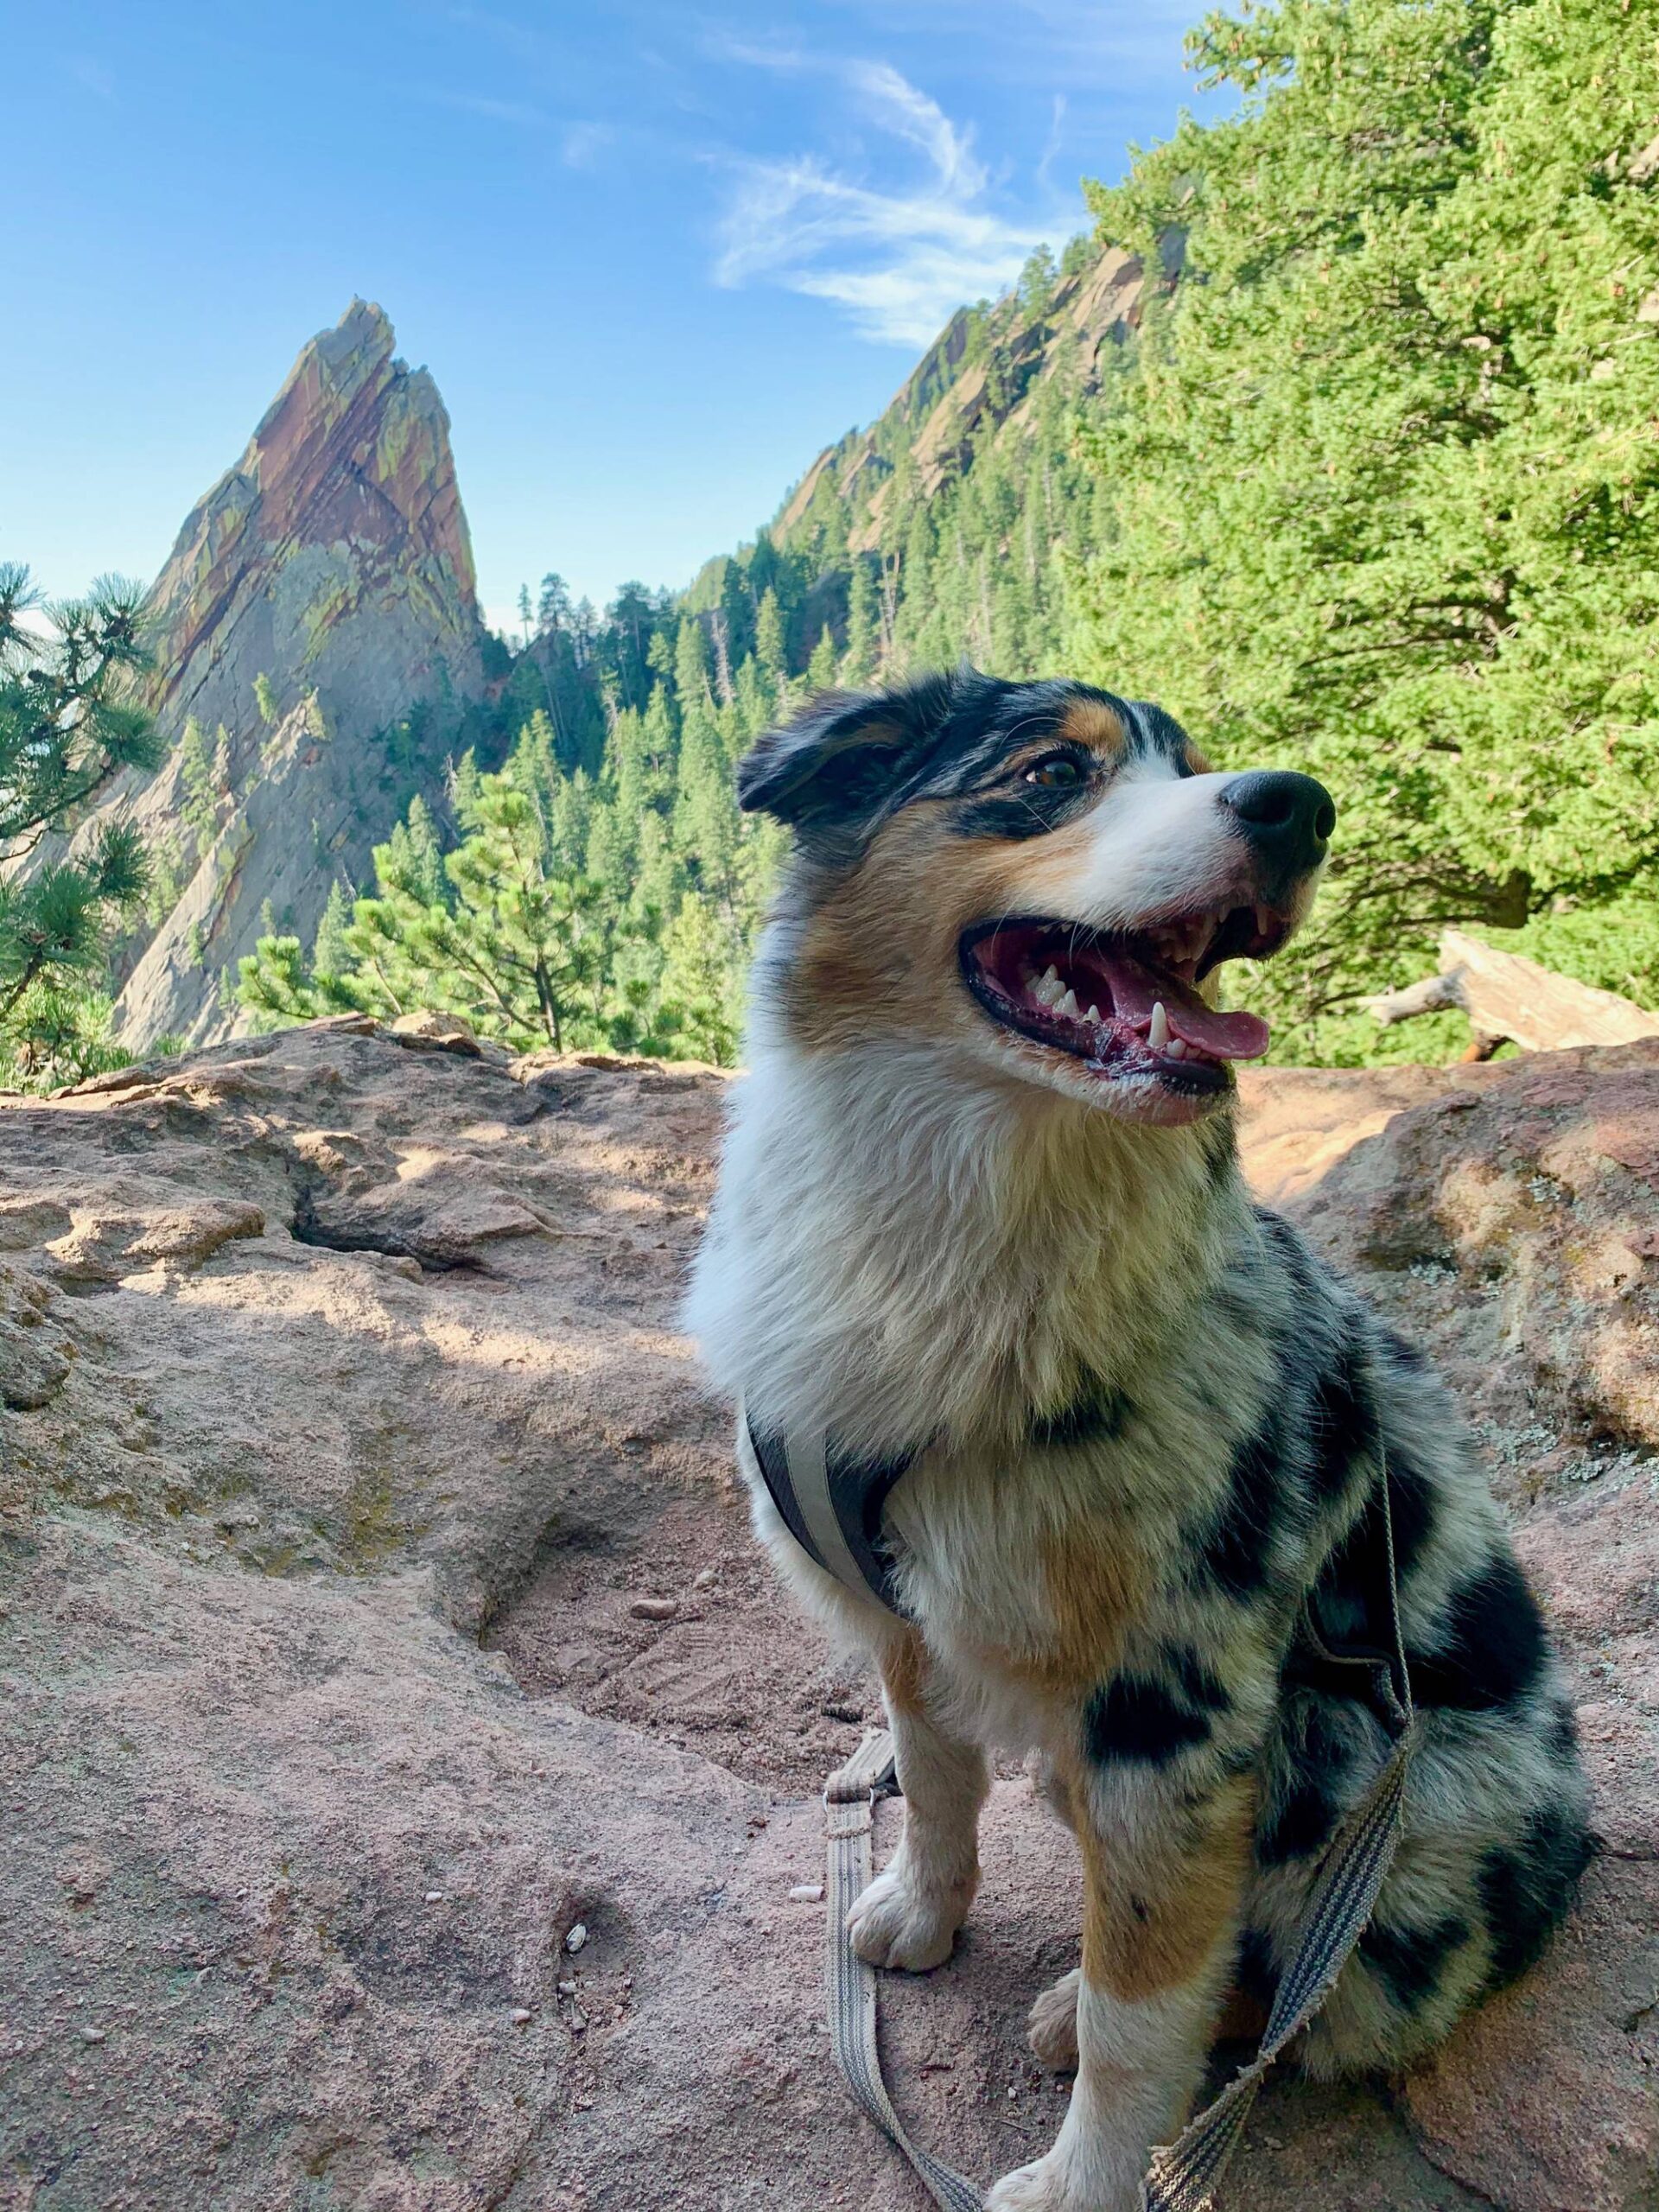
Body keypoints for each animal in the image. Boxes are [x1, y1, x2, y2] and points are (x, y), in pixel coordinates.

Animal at [690, 672, 1601, 2212]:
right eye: (1052, 773)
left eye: (1206, 764)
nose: (1300, 805)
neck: (971, 1224)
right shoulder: (913, 1626)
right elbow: (935, 1784)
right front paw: (918, 1912)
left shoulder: (1174, 1707)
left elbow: (1146, 1998)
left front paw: (1084, 2182)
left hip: (1383, 1781)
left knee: (1286, 1983)